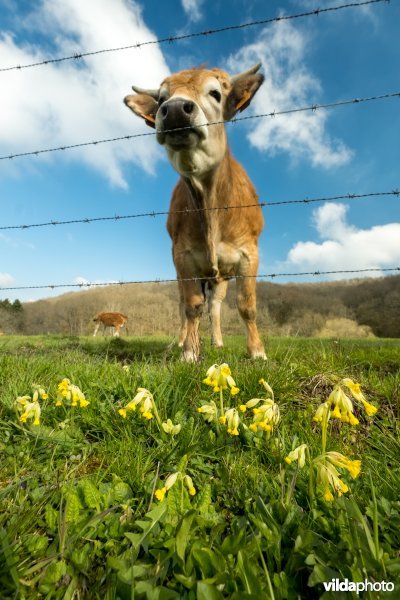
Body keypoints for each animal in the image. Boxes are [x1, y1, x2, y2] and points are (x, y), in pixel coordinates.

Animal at [125, 62, 268, 360]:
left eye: (215, 93)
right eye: (161, 99)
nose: (176, 109)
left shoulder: (249, 253)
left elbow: (247, 306)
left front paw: (257, 352)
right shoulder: (184, 257)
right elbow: (191, 306)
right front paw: (189, 352)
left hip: (221, 276)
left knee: (214, 307)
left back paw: (217, 342)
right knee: (186, 305)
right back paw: (180, 341)